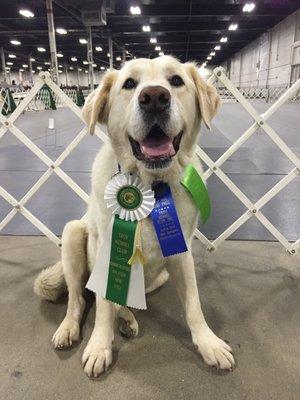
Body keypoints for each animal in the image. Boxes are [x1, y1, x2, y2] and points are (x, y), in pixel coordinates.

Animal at [34, 54, 236, 376]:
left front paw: (209, 343)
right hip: (73, 233)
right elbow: (102, 305)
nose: (154, 97)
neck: (150, 187)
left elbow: (193, 304)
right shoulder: (105, 249)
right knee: (79, 299)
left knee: (117, 301)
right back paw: (71, 327)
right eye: (129, 84)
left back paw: (127, 319)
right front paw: (99, 346)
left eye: (176, 80)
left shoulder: (181, 252)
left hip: (160, 276)